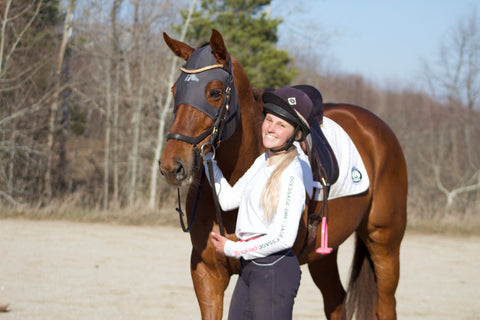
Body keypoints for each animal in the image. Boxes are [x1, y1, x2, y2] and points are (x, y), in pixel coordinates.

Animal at [159, 28, 406, 318]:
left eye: (215, 92)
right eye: (175, 90)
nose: (172, 165)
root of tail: (377, 129)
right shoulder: (207, 275)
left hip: (385, 243)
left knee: (386, 304)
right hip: (324, 253)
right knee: (337, 301)